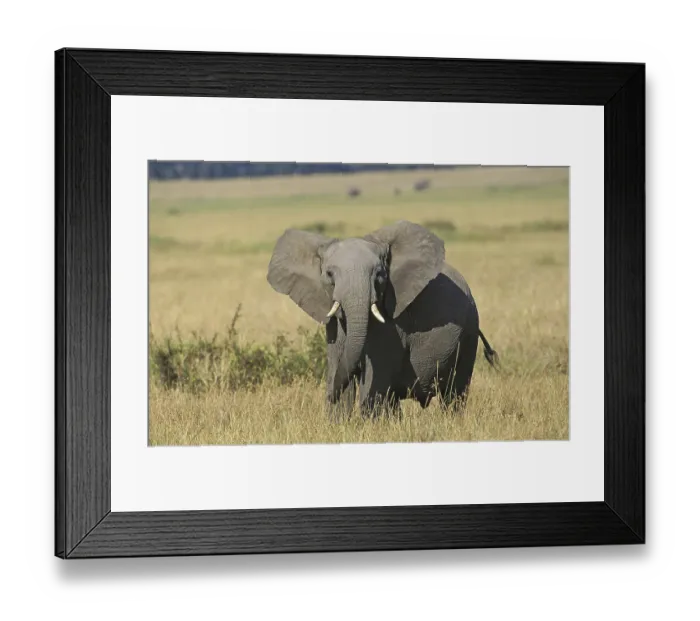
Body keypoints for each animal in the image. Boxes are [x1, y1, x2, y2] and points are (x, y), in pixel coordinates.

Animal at [267, 220, 498, 419]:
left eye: (379, 274)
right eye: (329, 274)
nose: (329, 395)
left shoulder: (392, 325)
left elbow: (375, 382)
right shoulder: (334, 328)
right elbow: (340, 370)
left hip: (468, 332)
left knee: (454, 393)